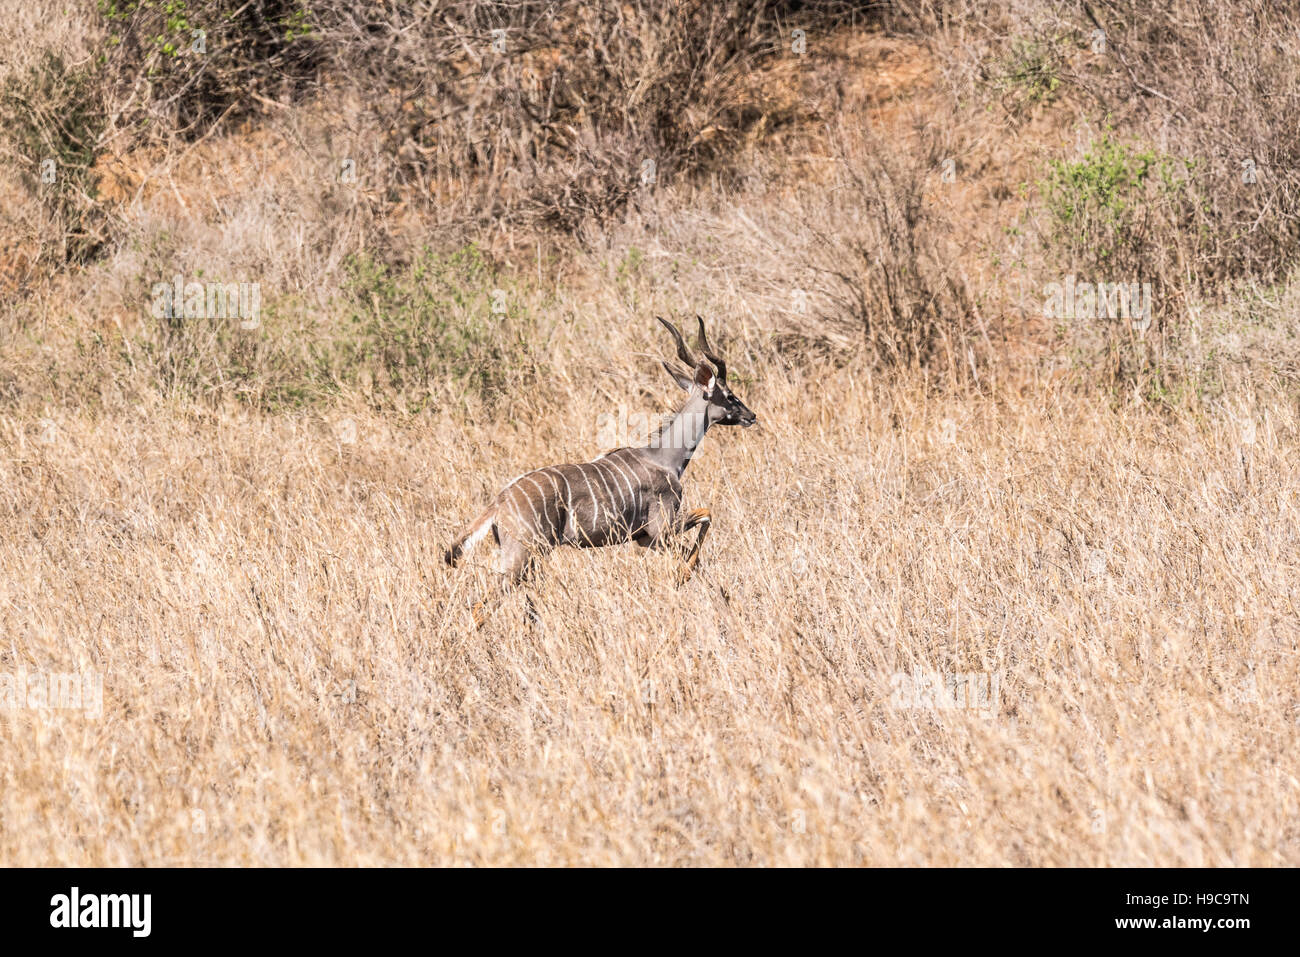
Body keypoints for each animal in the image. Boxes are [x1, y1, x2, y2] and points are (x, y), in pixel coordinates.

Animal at [447, 317, 759, 624]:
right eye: (730, 396)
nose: (751, 416)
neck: (663, 456)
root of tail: (499, 502)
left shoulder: (646, 540)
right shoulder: (661, 530)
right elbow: (706, 516)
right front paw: (684, 577)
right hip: (522, 557)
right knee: (479, 608)